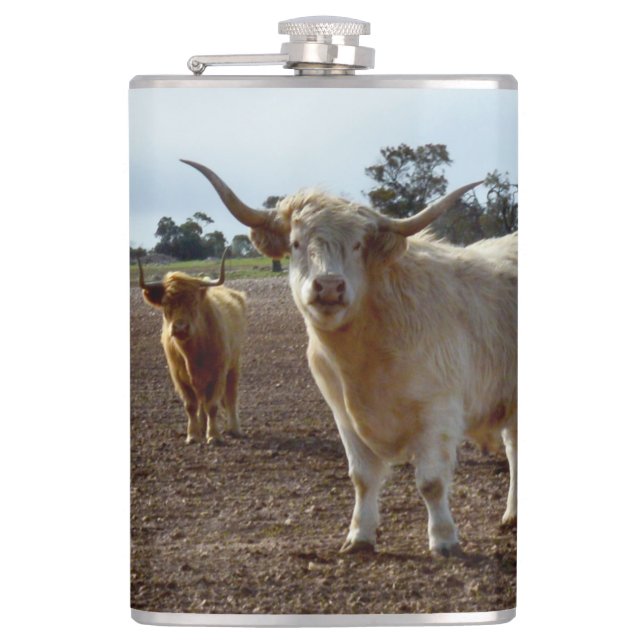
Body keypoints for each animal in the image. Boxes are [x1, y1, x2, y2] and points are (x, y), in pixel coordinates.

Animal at [138, 247, 247, 445]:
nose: (180, 327)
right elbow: (191, 405)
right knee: (201, 401)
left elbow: (213, 405)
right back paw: (202, 427)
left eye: (194, 302)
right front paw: (193, 435)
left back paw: (234, 429)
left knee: (231, 396)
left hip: (234, 364)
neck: (193, 353)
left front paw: (214, 436)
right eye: (165, 304)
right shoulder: (178, 376)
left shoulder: (218, 372)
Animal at [181, 159, 517, 556]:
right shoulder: (343, 414)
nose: (328, 286)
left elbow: (431, 482)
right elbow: (362, 477)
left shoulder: (438, 412)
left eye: (357, 245)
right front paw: (359, 536)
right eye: (296, 243)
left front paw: (444, 539)